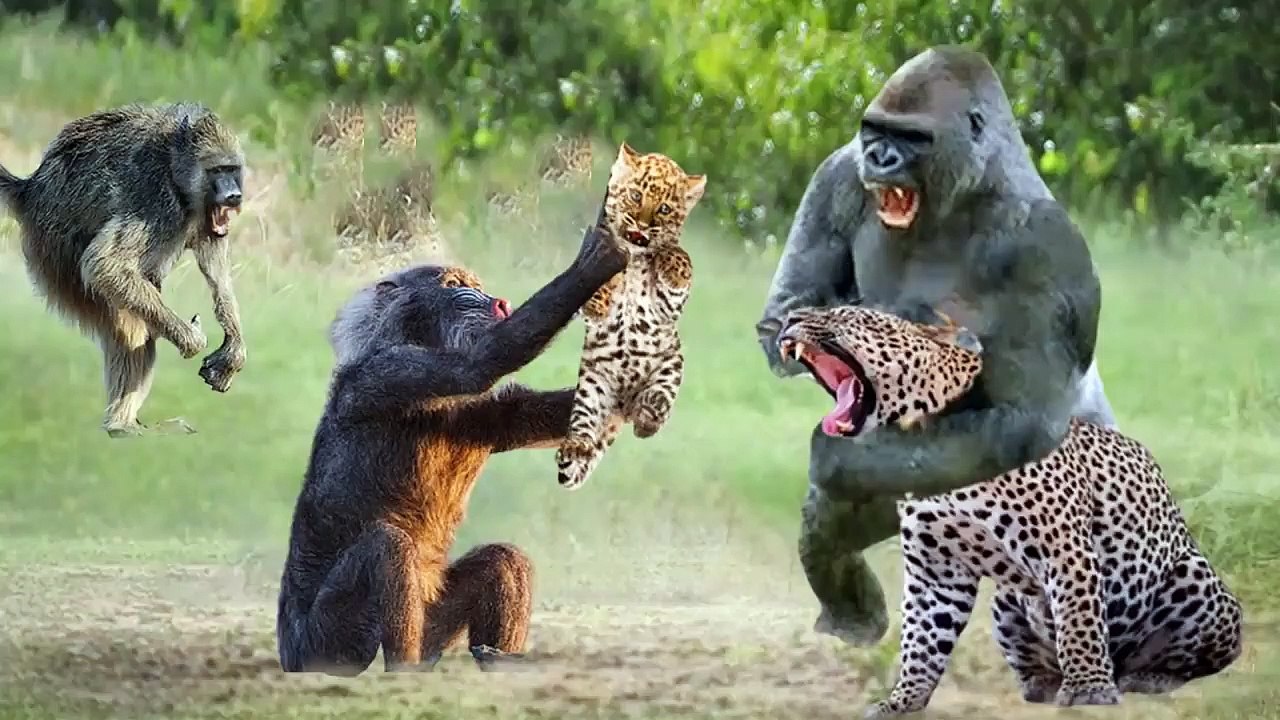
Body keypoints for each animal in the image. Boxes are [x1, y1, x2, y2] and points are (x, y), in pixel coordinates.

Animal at [0, 103, 248, 438]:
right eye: (217, 171)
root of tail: (32, 188)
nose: (234, 195)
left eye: (232, 169)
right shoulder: (155, 201)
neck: (178, 169)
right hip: (56, 254)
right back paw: (120, 427)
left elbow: (215, 268)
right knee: (132, 324)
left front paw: (233, 351)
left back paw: (129, 424)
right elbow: (105, 264)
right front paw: (192, 340)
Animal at [275, 202, 628, 675]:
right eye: (455, 286)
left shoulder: (486, 414)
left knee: (503, 560)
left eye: (475, 284)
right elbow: (477, 363)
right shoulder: (393, 373)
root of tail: (288, 656)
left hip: (433, 628)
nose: (496, 300)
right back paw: (403, 667)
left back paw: (499, 659)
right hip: (326, 644)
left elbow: (555, 413)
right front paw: (595, 262)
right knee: (386, 548)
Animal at [554, 143, 706, 490]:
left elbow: (678, 254)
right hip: (592, 388)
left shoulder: (667, 306)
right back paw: (575, 448)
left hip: (669, 369)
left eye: (664, 209)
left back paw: (648, 416)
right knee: (583, 427)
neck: (635, 260)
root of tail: (622, 408)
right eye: (636, 196)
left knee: (657, 405)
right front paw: (600, 296)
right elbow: (597, 285)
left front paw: (672, 264)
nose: (642, 224)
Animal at [755, 46, 1121, 647]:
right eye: (875, 131)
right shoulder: (838, 173)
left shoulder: (1046, 246)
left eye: (912, 138)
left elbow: (1020, 420)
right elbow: (786, 312)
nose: (879, 158)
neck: (966, 192)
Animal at [774, 304, 1244, 719]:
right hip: (1007, 602)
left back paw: (1146, 678)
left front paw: (1088, 691)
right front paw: (902, 700)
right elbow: (922, 638)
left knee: (1195, 658)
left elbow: (1079, 620)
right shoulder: (936, 570)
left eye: (842, 314)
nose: (787, 318)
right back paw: (1041, 684)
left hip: (1192, 579)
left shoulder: (1064, 547)